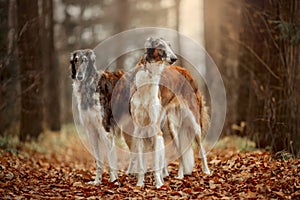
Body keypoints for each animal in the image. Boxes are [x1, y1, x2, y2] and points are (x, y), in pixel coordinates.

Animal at [69, 50, 118, 184]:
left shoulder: (105, 130)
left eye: (86, 60)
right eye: (76, 60)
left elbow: (110, 160)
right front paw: (97, 182)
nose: (79, 76)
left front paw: (114, 181)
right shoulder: (91, 131)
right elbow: (98, 161)